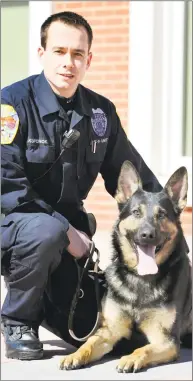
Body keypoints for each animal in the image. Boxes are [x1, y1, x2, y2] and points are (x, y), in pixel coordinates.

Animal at [60, 160, 191, 372]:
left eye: (162, 215)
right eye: (136, 212)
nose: (147, 235)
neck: (140, 279)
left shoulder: (166, 340)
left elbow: (143, 349)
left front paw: (131, 358)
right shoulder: (109, 331)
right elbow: (88, 344)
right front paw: (75, 355)